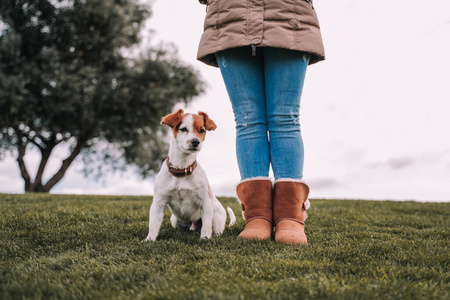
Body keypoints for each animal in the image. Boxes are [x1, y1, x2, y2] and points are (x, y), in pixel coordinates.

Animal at [144, 109, 236, 240]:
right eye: (183, 129)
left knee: (216, 230)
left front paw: (205, 239)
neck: (182, 170)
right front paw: (149, 240)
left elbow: (206, 226)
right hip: (175, 220)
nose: (195, 142)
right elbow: (153, 225)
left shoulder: (205, 203)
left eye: (202, 130)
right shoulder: (158, 203)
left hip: (216, 217)